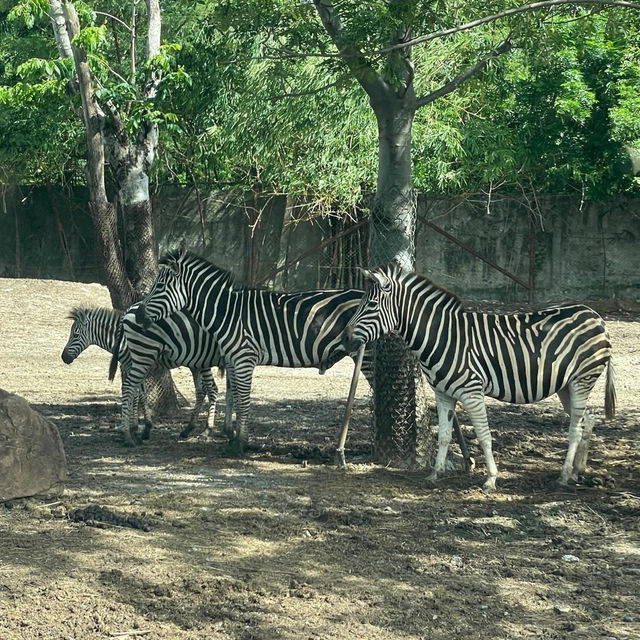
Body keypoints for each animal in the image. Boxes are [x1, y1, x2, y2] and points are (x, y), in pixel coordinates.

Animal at [62, 308, 230, 448]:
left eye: (75, 335)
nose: (64, 358)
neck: (123, 341)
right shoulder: (133, 367)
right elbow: (140, 394)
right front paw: (142, 428)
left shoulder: (134, 365)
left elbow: (135, 395)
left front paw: (135, 429)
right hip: (195, 364)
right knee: (201, 391)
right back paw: (189, 429)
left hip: (203, 363)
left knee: (212, 389)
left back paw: (207, 431)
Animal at [136, 248, 376, 452]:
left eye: (159, 287)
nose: (138, 315)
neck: (226, 312)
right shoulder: (232, 359)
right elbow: (234, 398)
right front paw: (233, 437)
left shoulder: (244, 358)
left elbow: (243, 400)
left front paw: (240, 444)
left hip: (367, 356)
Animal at [342, 262, 616, 492]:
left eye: (371, 305)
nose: (345, 338)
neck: (442, 336)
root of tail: (594, 315)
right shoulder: (442, 394)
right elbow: (444, 436)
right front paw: (435, 474)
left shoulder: (471, 392)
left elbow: (484, 436)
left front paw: (491, 479)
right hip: (565, 385)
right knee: (587, 420)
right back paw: (578, 471)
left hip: (582, 379)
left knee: (575, 428)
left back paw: (564, 475)